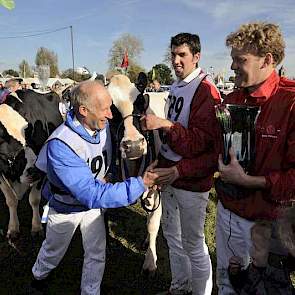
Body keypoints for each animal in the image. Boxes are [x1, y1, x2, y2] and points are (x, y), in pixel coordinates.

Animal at [0, 90, 63, 247]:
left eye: (34, 136)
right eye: (9, 152)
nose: (35, 170)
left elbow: (34, 199)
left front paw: (36, 227)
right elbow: (11, 200)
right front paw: (13, 229)